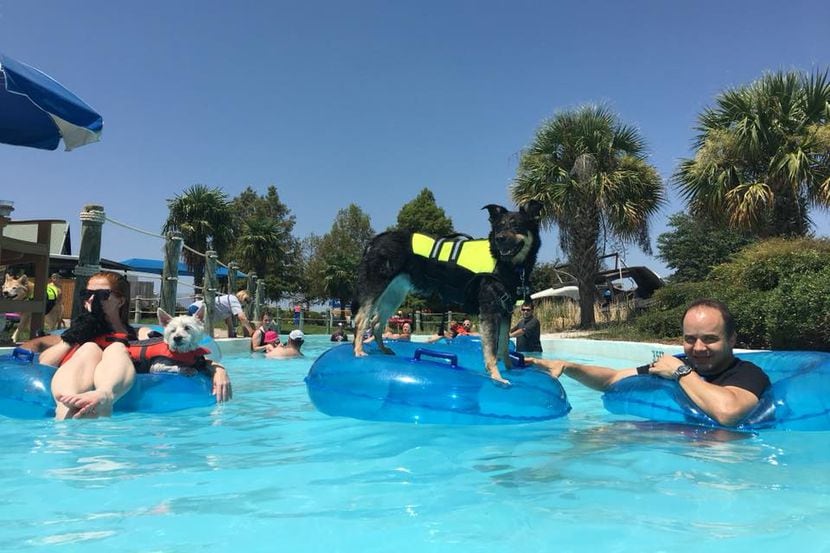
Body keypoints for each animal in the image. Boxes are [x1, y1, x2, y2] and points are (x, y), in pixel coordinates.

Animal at [352, 199, 544, 384]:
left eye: (516, 225)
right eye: (499, 227)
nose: (499, 238)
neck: (506, 264)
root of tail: (376, 240)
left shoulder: (505, 311)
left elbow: (503, 344)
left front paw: (511, 369)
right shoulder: (490, 311)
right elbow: (491, 348)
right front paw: (497, 376)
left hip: (394, 295)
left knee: (376, 322)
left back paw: (383, 350)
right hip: (376, 287)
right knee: (362, 319)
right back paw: (359, 350)